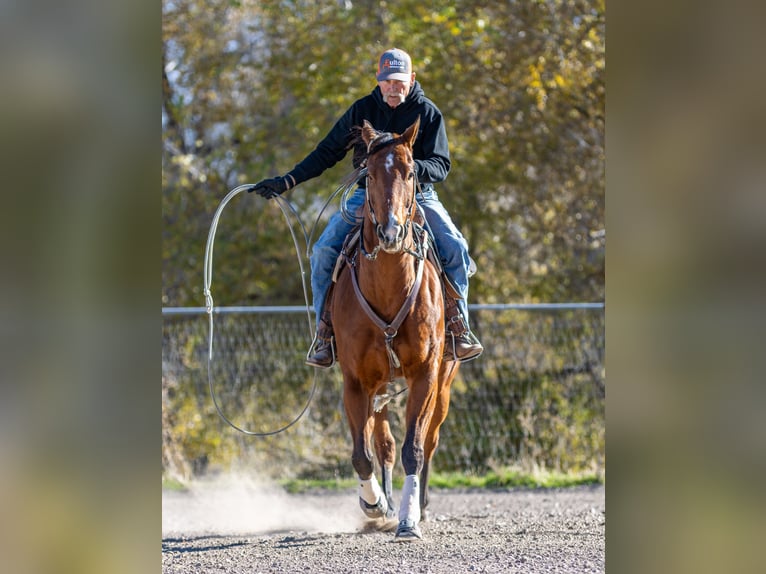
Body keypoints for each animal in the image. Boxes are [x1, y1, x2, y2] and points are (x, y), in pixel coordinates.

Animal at [330, 117, 460, 541]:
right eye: (369, 174)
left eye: (410, 173)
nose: (389, 233)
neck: (389, 288)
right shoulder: (356, 381)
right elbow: (362, 452)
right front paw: (374, 504)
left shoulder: (425, 374)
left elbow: (414, 449)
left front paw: (408, 519)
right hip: (381, 387)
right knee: (382, 443)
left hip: (444, 382)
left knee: (429, 441)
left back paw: (421, 506)